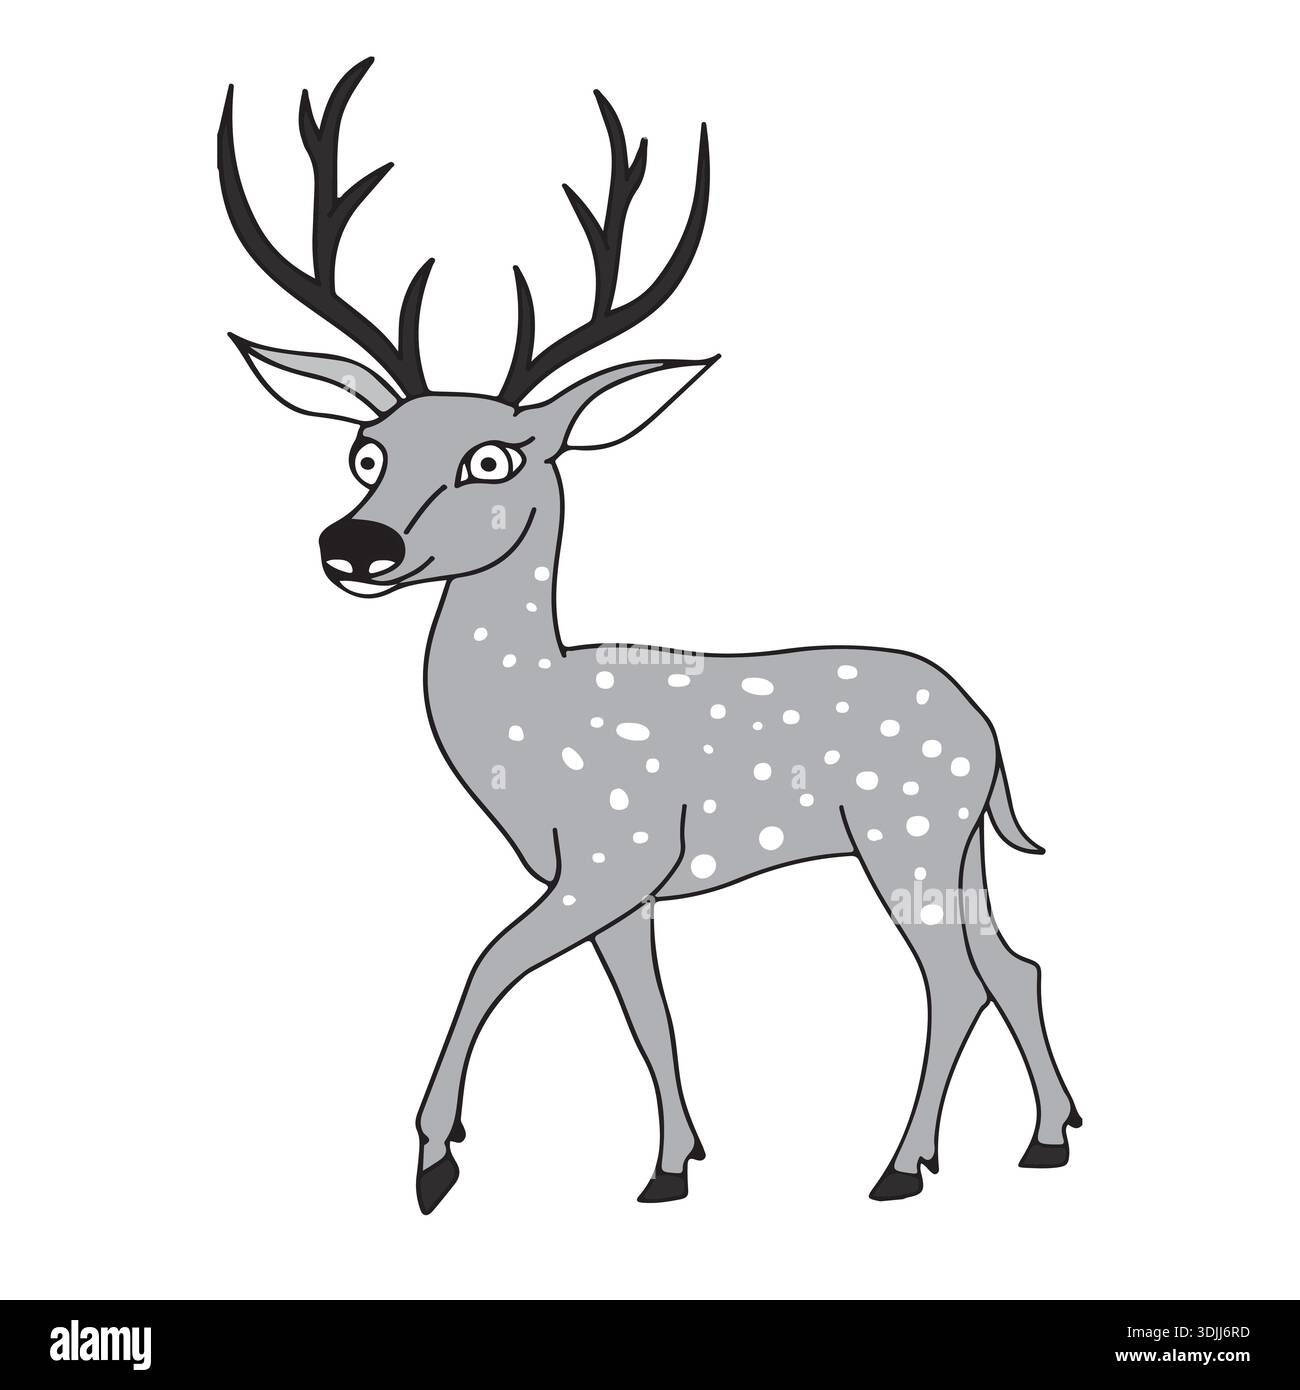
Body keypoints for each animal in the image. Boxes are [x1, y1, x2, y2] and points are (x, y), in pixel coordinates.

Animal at [218, 59, 1080, 1214]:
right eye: (366, 449)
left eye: (492, 459)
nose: (356, 544)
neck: (531, 729)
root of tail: (987, 728)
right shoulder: (625, 885)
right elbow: (647, 1015)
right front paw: (673, 1164)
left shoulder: (610, 850)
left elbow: (487, 961)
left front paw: (435, 1157)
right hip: (956, 839)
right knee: (1009, 963)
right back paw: (1048, 1138)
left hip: (899, 825)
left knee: (953, 978)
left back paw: (903, 1166)